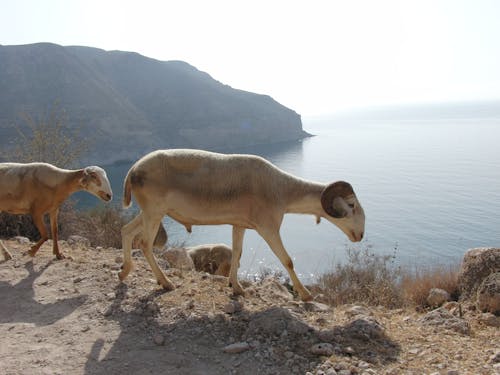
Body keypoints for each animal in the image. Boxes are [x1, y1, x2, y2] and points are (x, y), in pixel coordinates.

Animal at [119, 148, 366, 302]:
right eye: (351, 205)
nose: (361, 235)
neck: (281, 189)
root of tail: (132, 171)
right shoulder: (268, 228)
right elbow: (287, 260)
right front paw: (305, 295)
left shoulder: (239, 225)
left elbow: (237, 253)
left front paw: (236, 288)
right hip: (154, 212)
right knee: (144, 244)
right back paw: (165, 282)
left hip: (149, 213)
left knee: (126, 231)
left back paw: (125, 272)